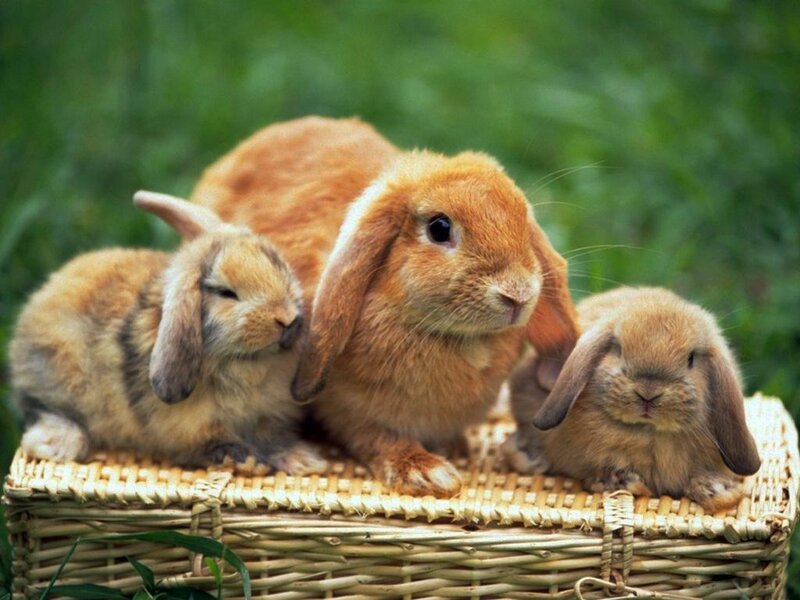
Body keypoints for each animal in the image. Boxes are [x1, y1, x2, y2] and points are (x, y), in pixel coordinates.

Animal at [10, 190, 326, 474]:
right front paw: (247, 462)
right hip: (55, 373)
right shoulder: (191, 426)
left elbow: (273, 439)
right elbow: (215, 442)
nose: (287, 318)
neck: (243, 362)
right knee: (39, 407)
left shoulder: (269, 416)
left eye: (279, 265)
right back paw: (59, 445)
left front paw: (307, 461)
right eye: (226, 293)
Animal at [190, 116, 580, 496]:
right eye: (439, 228)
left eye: (522, 222)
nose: (518, 293)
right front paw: (426, 473)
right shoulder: (345, 410)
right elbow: (376, 438)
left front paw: (454, 448)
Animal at [503, 286, 761, 512]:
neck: (647, 433)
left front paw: (716, 490)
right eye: (618, 349)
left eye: (691, 359)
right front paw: (622, 481)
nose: (648, 394)